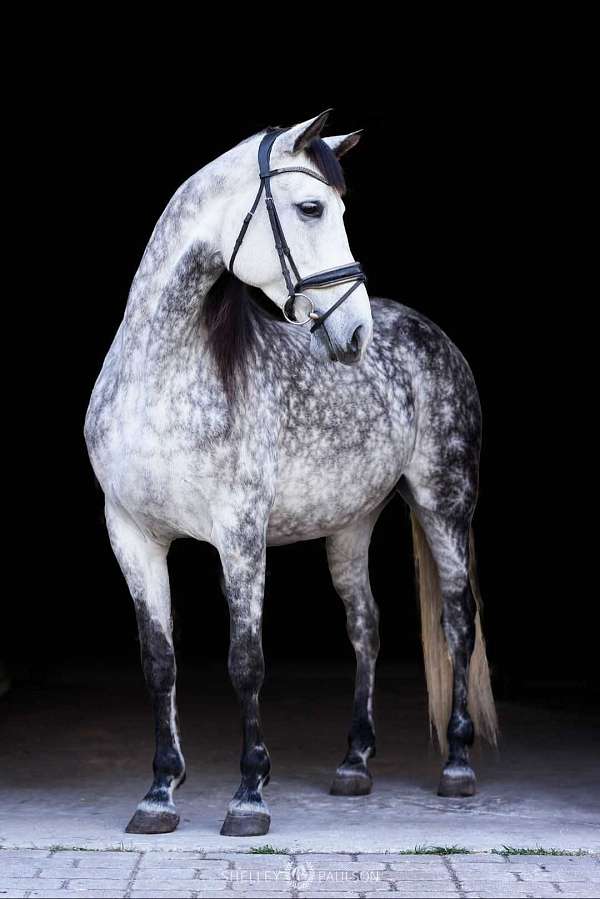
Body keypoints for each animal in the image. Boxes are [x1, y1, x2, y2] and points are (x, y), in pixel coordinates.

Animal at [84, 110, 498, 838]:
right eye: (311, 208)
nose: (355, 332)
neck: (158, 380)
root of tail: (431, 334)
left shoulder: (240, 534)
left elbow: (246, 662)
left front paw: (249, 794)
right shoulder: (131, 533)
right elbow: (159, 663)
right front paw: (159, 793)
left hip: (443, 503)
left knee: (457, 621)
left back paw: (456, 764)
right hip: (351, 524)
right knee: (367, 626)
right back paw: (354, 763)